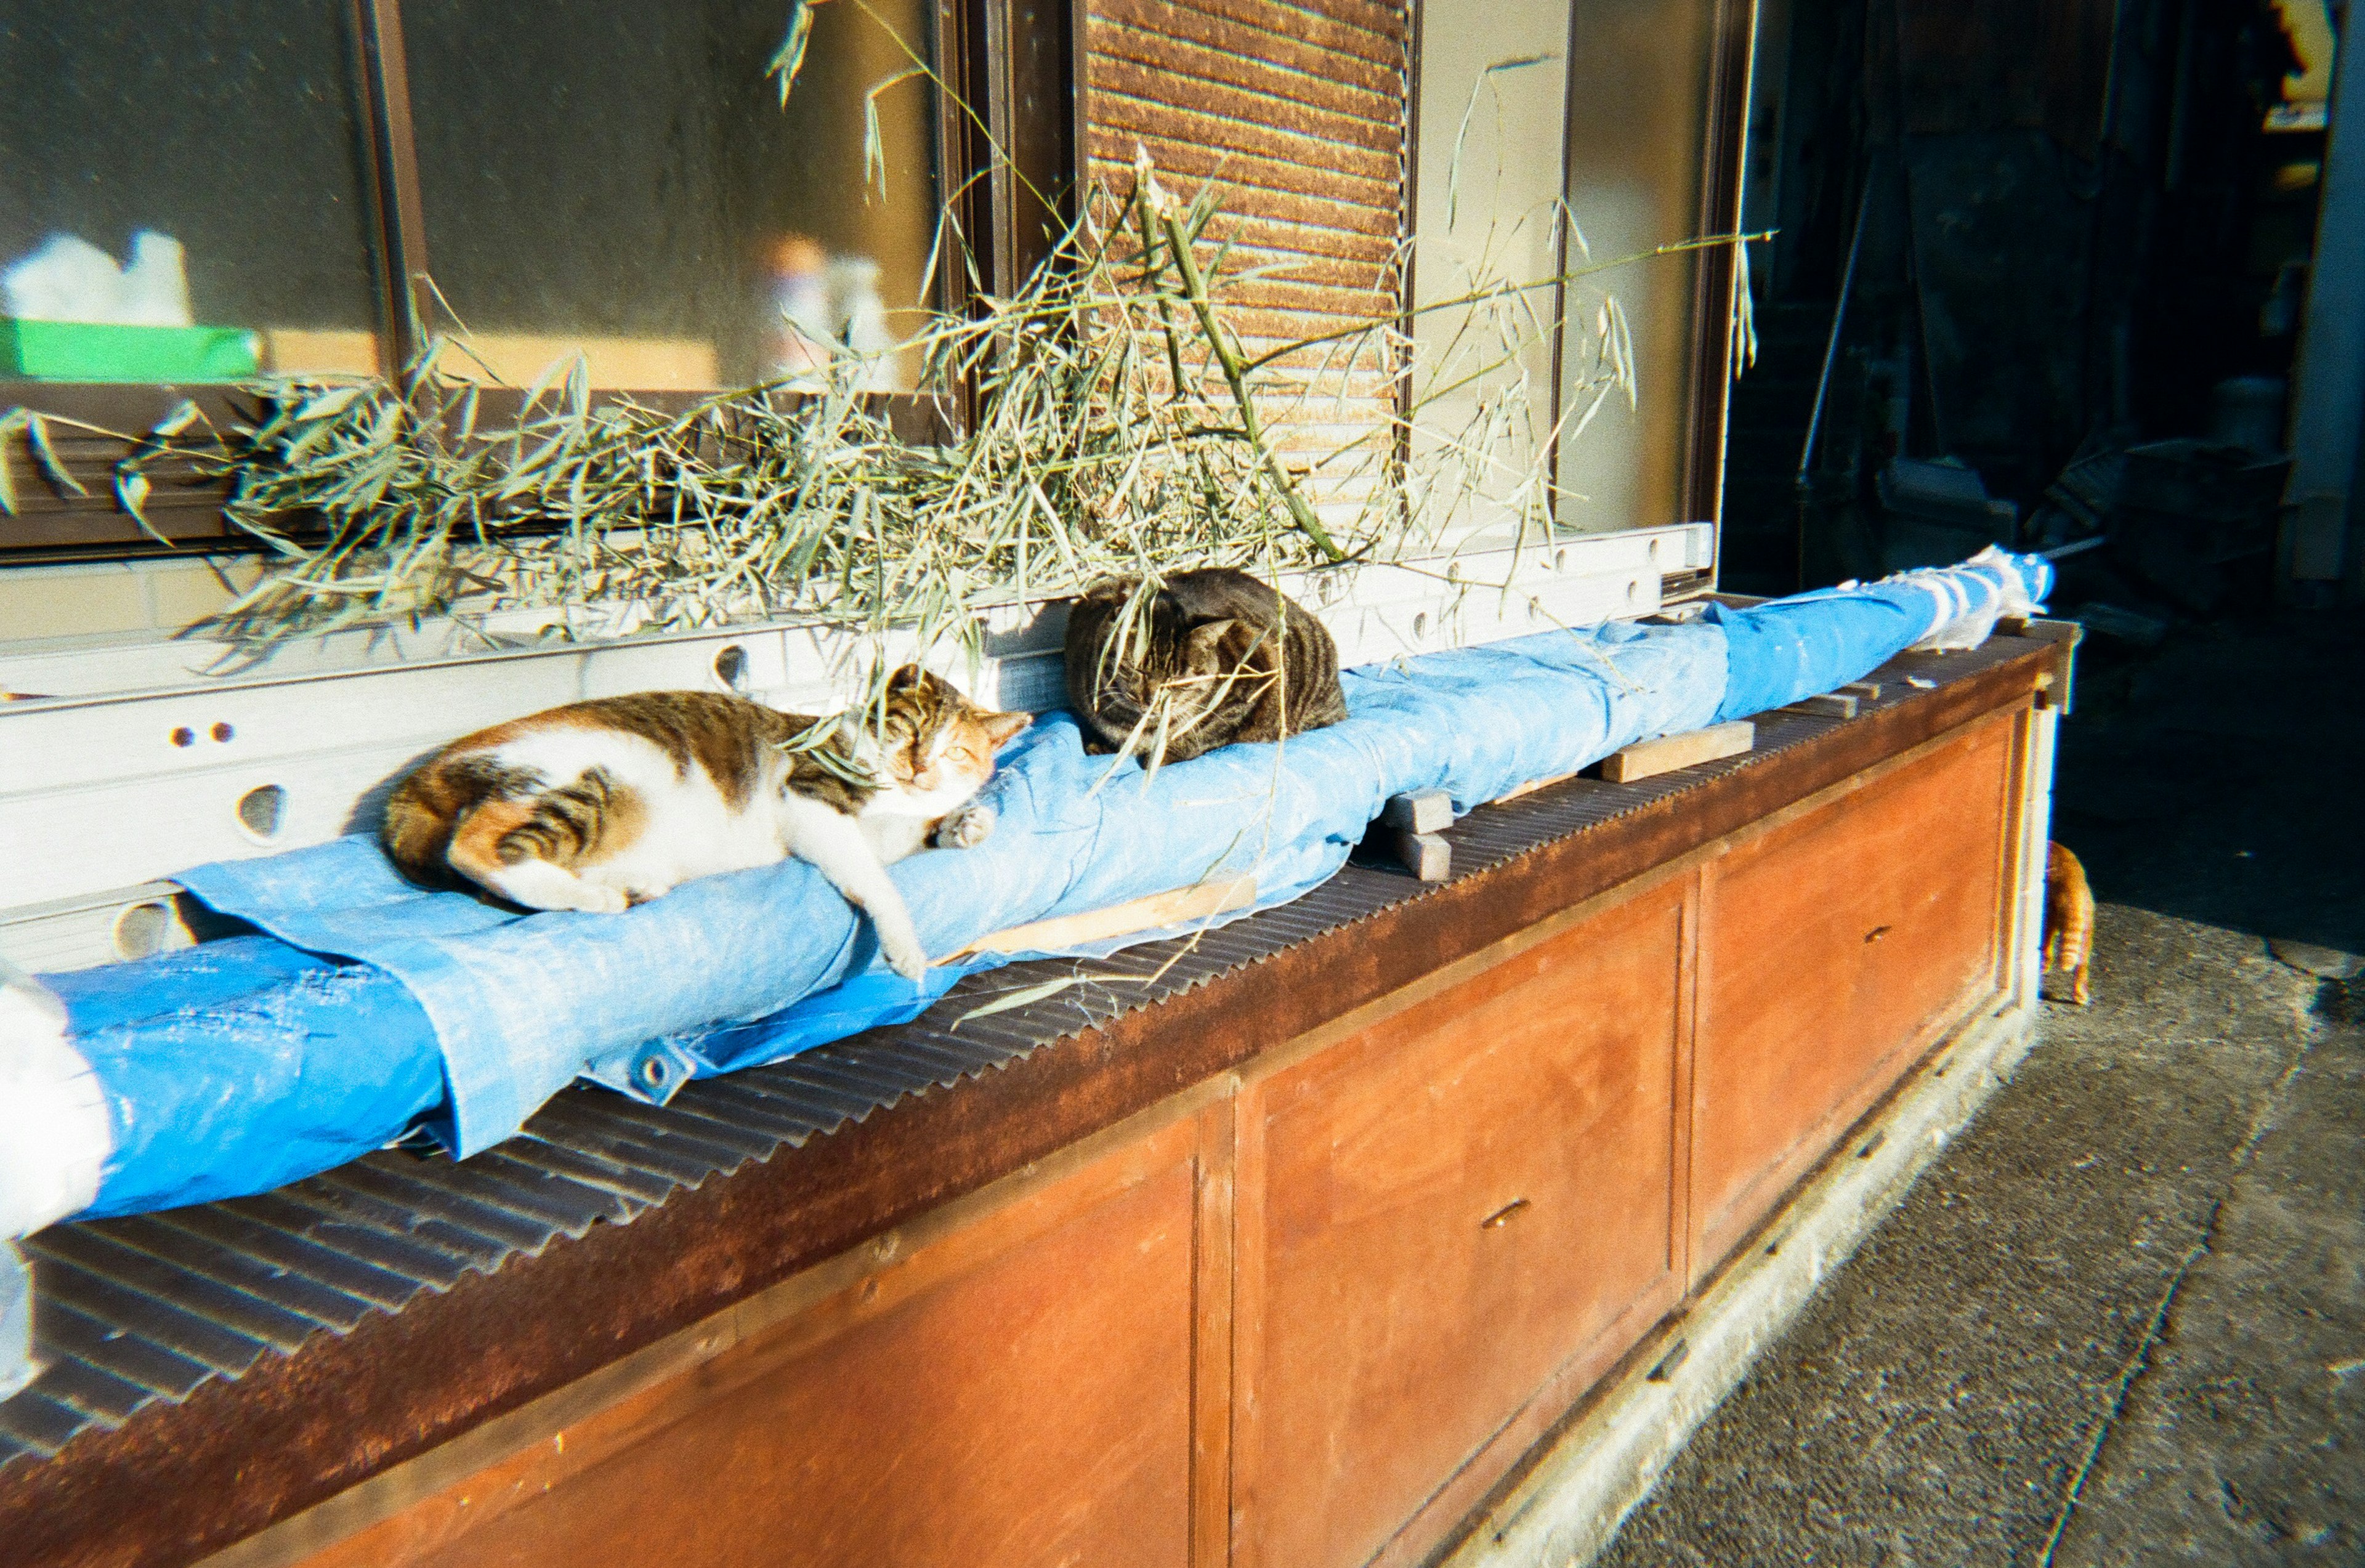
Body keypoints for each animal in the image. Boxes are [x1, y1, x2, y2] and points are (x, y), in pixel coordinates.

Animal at [383, 666, 1031, 984]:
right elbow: (876, 879)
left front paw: (967, 822)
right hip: (598, 773)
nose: (920, 767)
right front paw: (905, 949)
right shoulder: (811, 800)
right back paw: (589, 895)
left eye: (957, 752)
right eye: (910, 729)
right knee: (478, 845)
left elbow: (928, 833)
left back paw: (626, 884)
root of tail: (429, 770)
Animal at [1064, 565, 1343, 766]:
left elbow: (1206, 733)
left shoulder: (1252, 688)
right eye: (1137, 668)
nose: (1151, 700)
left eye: (1178, 678)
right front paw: (1100, 744)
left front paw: (1160, 755)